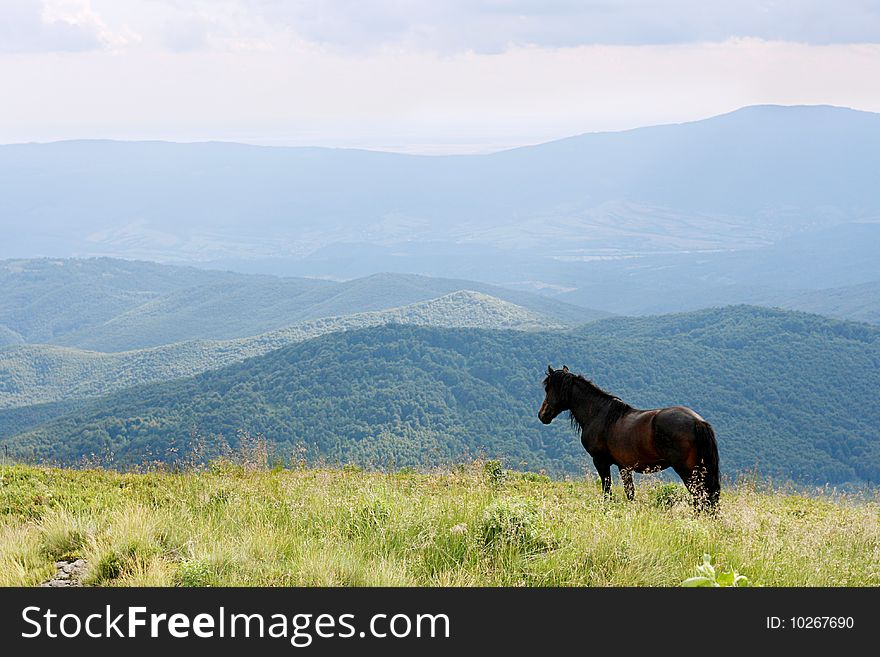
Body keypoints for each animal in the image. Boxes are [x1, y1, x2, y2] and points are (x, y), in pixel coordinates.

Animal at [536, 366, 720, 510]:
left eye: (547, 389)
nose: (542, 415)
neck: (599, 414)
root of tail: (697, 421)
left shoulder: (601, 462)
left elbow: (607, 489)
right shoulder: (623, 467)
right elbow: (629, 493)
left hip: (687, 471)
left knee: (700, 497)